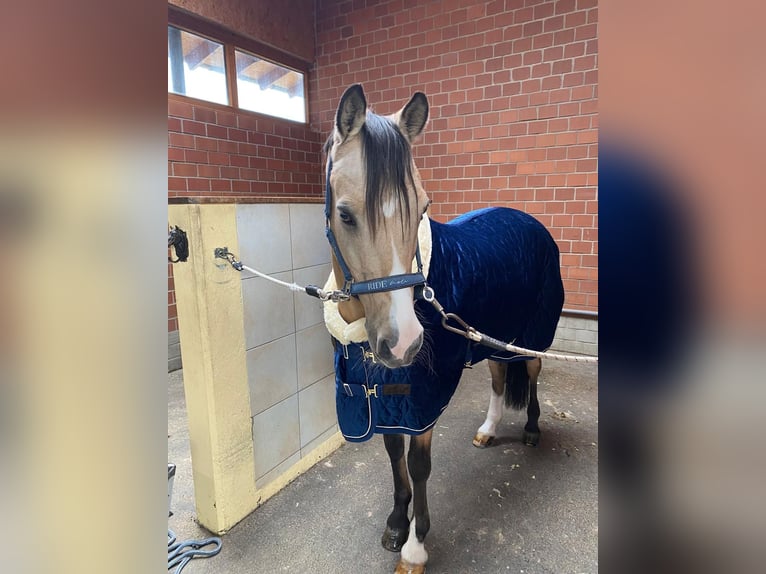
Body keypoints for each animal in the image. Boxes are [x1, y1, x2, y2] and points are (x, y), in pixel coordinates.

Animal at [320, 82, 568, 574]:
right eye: (346, 214)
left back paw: (531, 430)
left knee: (530, 374)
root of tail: (531, 221)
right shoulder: (390, 393)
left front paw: (415, 548)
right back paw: (488, 431)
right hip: (491, 338)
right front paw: (397, 523)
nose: (404, 343)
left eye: (423, 207)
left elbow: (418, 467)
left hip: (531, 336)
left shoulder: (422, 400)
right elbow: (393, 454)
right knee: (498, 378)